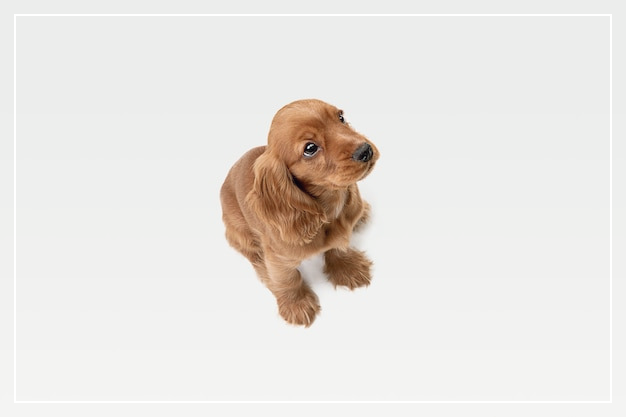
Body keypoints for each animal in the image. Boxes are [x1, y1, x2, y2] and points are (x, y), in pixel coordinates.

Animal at [220, 99, 379, 326]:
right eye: (310, 148)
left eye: (340, 117)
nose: (366, 151)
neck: (331, 205)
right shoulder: (278, 259)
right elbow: (288, 279)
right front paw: (297, 304)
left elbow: (339, 246)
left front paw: (347, 267)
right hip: (238, 230)